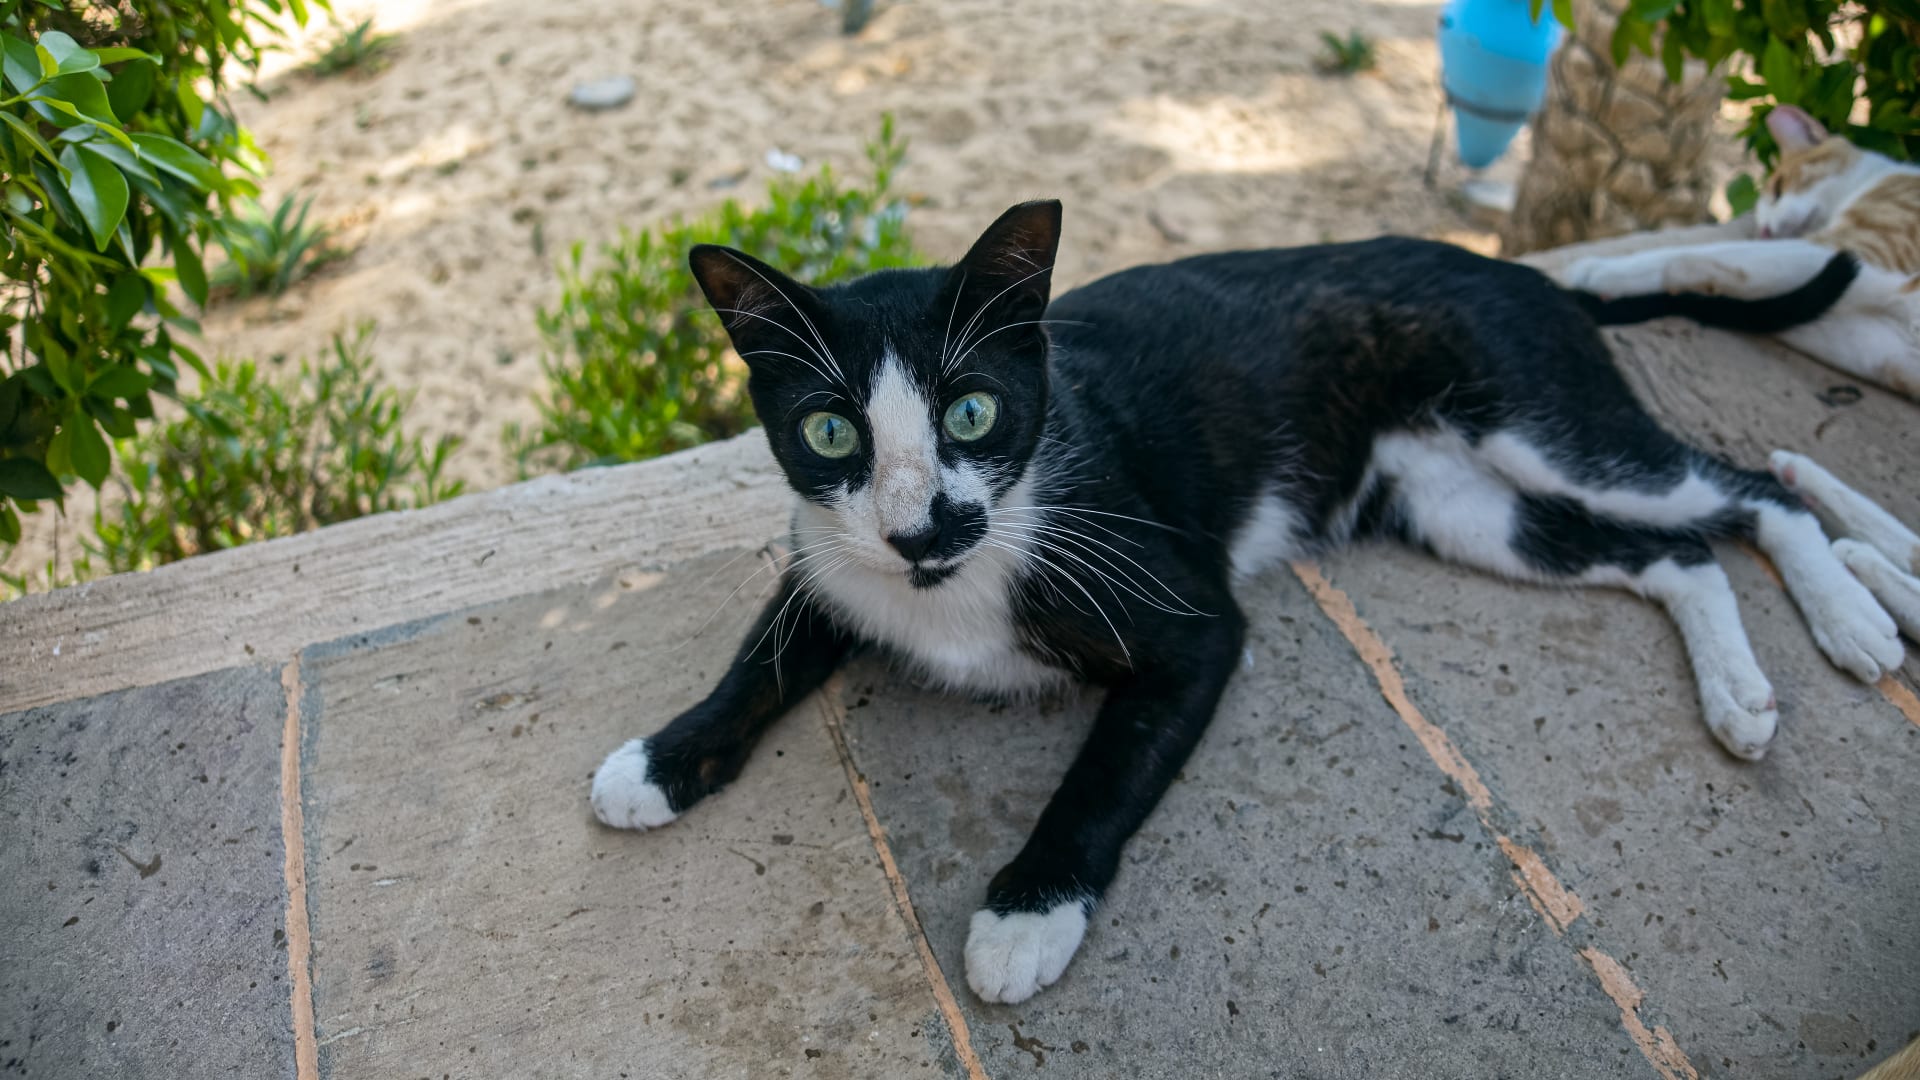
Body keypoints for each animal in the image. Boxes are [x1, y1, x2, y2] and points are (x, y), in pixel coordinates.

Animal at [589, 200, 1918, 1005]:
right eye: (830, 431)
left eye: (972, 411)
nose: (922, 528)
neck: (968, 566)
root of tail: (1523, 272)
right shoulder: (829, 556)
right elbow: (758, 656)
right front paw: (660, 756)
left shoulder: (1192, 625)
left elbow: (1106, 770)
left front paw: (1028, 911)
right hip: (1462, 505)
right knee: (1679, 552)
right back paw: (1748, 685)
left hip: (1538, 420)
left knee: (1746, 487)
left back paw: (1855, 608)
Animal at [1558, 103, 1920, 399]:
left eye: (1778, 189)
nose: (1765, 231)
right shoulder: (1884, 349)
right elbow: (1766, 304)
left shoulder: (1858, 248)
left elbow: (1704, 255)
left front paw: (1599, 271)